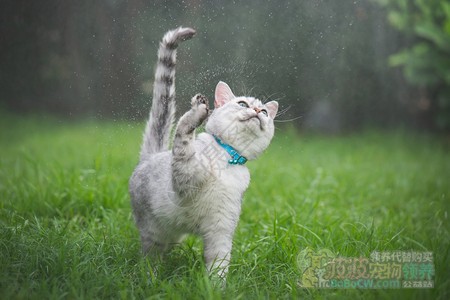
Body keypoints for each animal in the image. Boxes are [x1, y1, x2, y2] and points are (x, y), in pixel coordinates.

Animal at [128, 27, 280, 280]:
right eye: (242, 104)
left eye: (265, 112)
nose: (258, 111)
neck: (228, 160)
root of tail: (150, 156)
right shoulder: (185, 177)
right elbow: (184, 135)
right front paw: (198, 109)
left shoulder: (221, 229)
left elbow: (218, 265)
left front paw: (214, 285)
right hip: (153, 231)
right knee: (150, 258)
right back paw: (151, 278)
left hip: (172, 235)